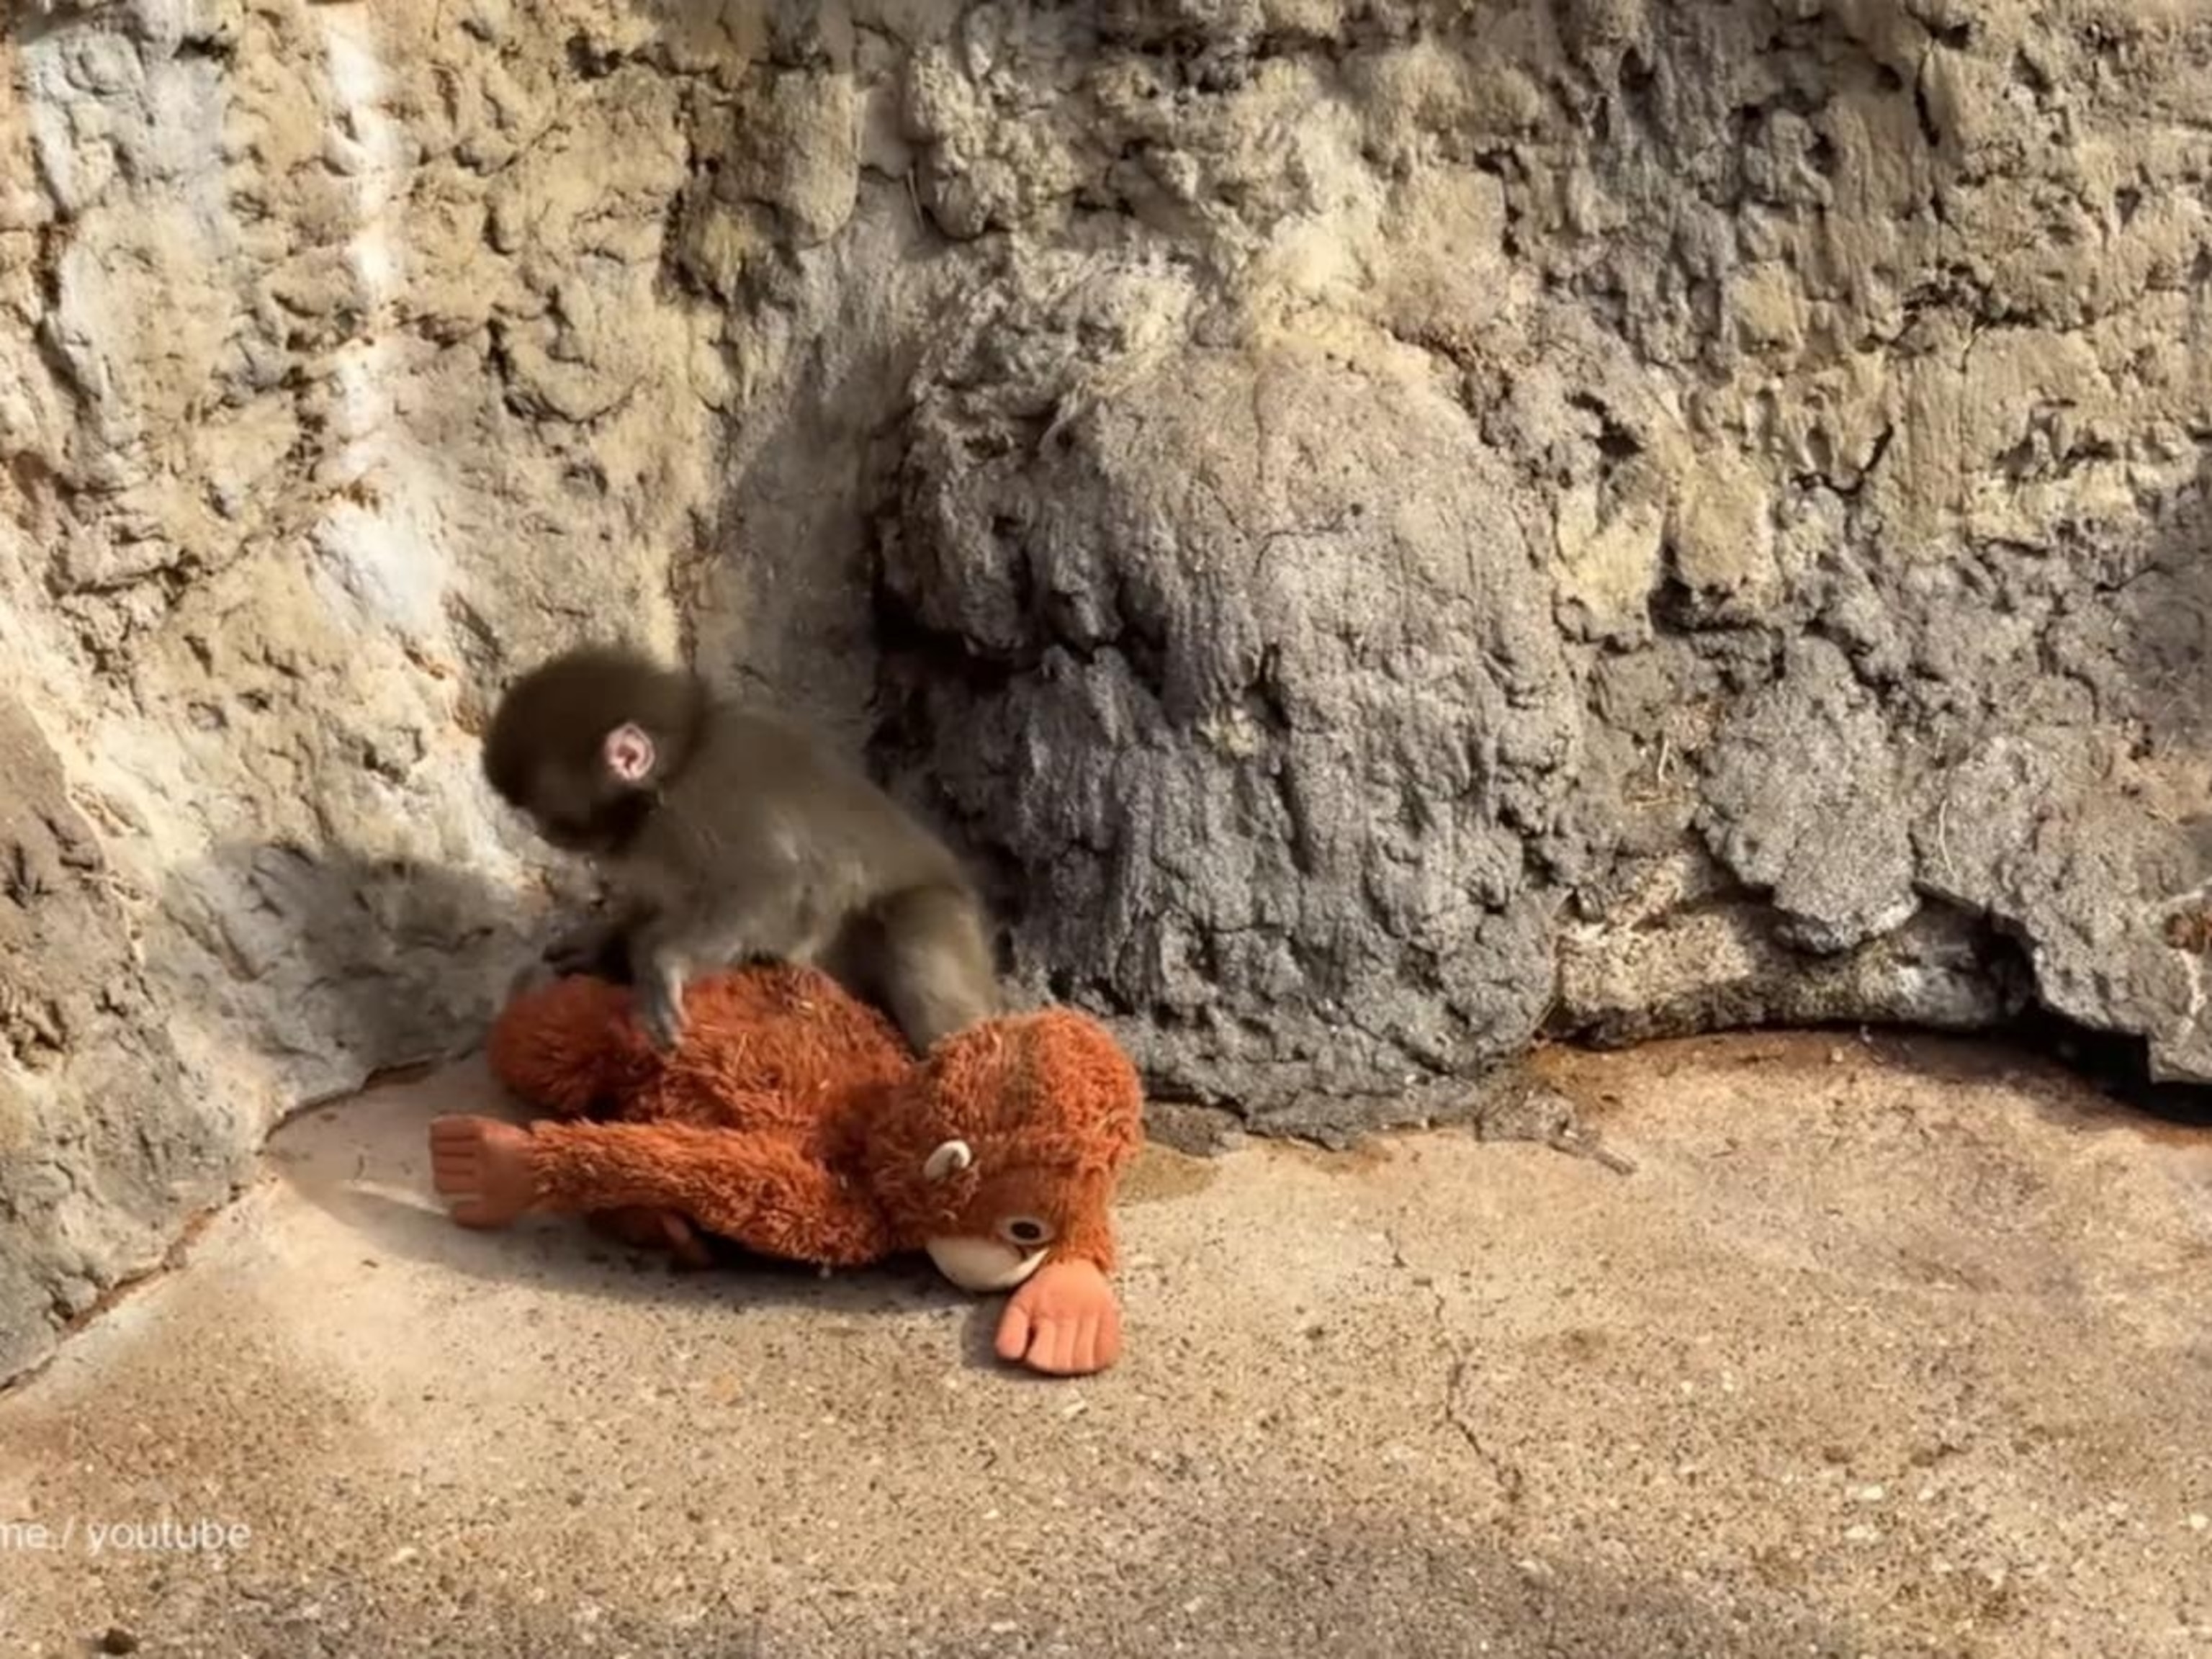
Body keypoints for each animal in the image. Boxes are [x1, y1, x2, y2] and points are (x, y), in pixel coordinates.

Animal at [481, 643, 1001, 1057]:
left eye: (548, 812)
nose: (540, 830)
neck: (677, 764)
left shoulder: (700, 807)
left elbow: (771, 885)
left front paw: (662, 962)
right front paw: (606, 939)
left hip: (941, 915)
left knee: (915, 940)